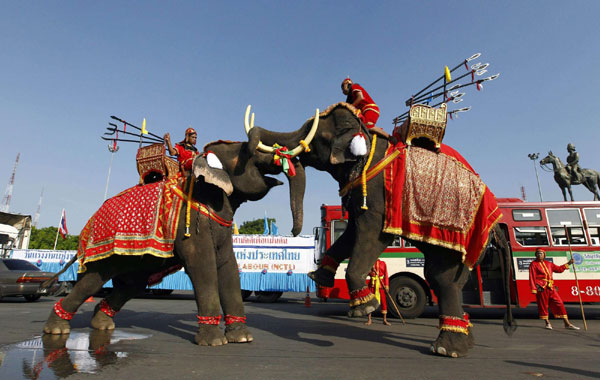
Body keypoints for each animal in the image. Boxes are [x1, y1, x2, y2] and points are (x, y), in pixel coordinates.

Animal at [42, 132, 312, 346]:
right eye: (248, 150)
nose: (293, 231)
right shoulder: (191, 222)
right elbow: (203, 266)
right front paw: (214, 342)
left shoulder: (221, 225)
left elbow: (228, 267)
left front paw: (242, 338)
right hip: (106, 249)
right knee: (93, 281)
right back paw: (56, 330)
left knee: (131, 284)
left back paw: (102, 325)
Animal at [244, 103, 516, 356]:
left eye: (315, 134)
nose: (292, 232)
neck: (366, 133)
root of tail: (495, 225)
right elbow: (352, 232)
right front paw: (319, 277)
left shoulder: (379, 196)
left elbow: (373, 234)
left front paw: (364, 307)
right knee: (444, 280)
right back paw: (461, 341)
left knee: (442, 278)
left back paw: (445, 349)